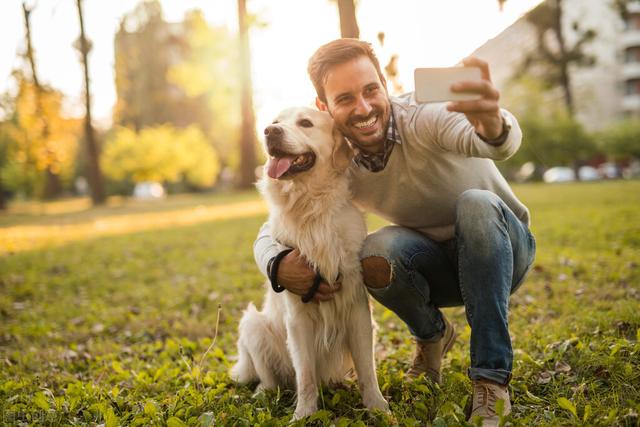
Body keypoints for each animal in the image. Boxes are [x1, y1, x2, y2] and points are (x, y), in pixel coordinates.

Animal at [231, 106, 390, 418]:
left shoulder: (357, 308)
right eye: (276, 122)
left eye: (305, 123)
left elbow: (367, 369)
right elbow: (305, 375)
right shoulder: (297, 315)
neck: (311, 208)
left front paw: (377, 406)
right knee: (272, 379)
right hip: (253, 325)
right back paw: (263, 394)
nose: (269, 131)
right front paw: (304, 414)